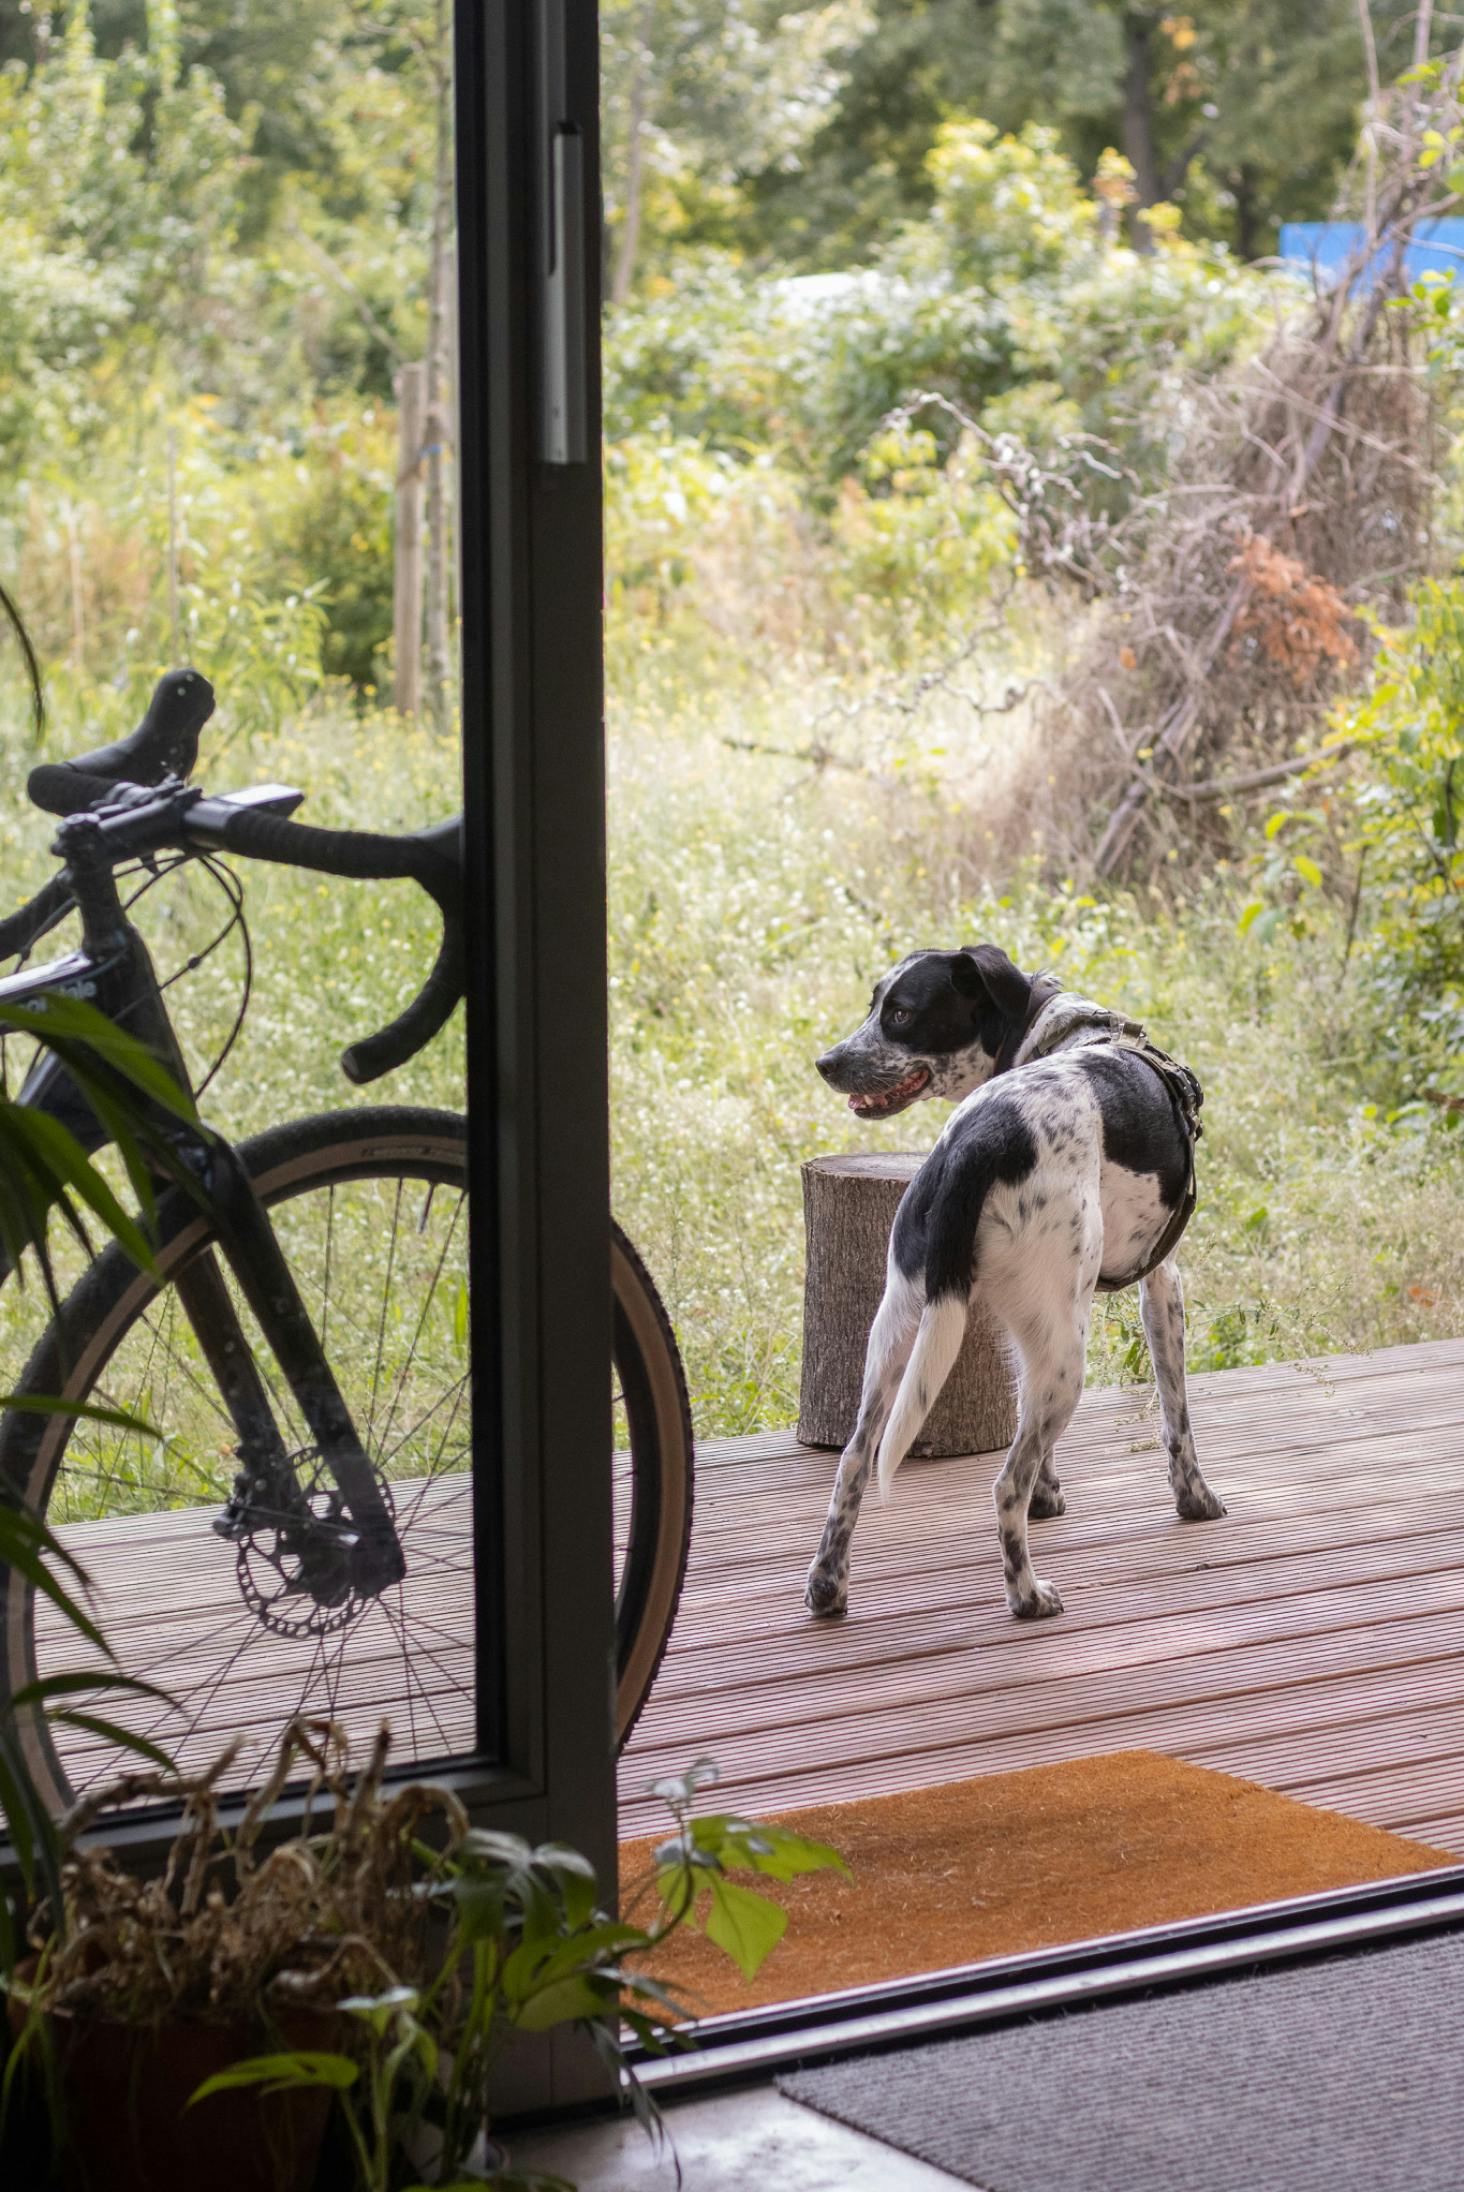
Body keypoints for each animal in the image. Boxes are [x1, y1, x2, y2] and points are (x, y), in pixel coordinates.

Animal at [802, 946, 1227, 1630]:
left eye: (898, 1012)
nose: (827, 1062)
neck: (1054, 1032)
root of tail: (976, 1143)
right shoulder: (1162, 1283)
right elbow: (1176, 1413)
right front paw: (1195, 1497)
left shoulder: (1021, 1327)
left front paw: (1048, 1496)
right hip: (1066, 1359)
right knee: (1004, 1483)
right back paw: (1027, 1595)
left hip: (899, 1330)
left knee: (853, 1462)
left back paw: (827, 1587)